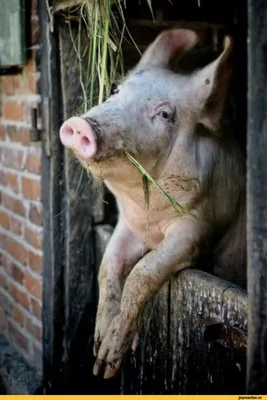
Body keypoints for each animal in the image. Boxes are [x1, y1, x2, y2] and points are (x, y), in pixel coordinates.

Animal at [59, 29, 246, 380]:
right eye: (116, 90)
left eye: (164, 115)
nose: (80, 125)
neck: (149, 219)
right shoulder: (126, 225)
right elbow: (108, 265)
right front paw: (98, 349)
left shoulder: (196, 230)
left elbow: (143, 272)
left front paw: (107, 365)